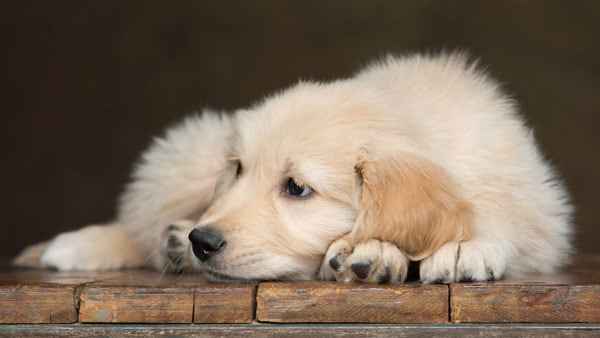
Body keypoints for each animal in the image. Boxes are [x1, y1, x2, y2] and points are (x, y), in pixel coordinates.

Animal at [14, 52, 572, 284]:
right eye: (239, 170)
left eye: (297, 189)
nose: (202, 241)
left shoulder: (535, 203)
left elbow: (502, 217)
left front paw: (459, 246)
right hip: (188, 148)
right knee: (138, 221)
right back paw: (95, 245)